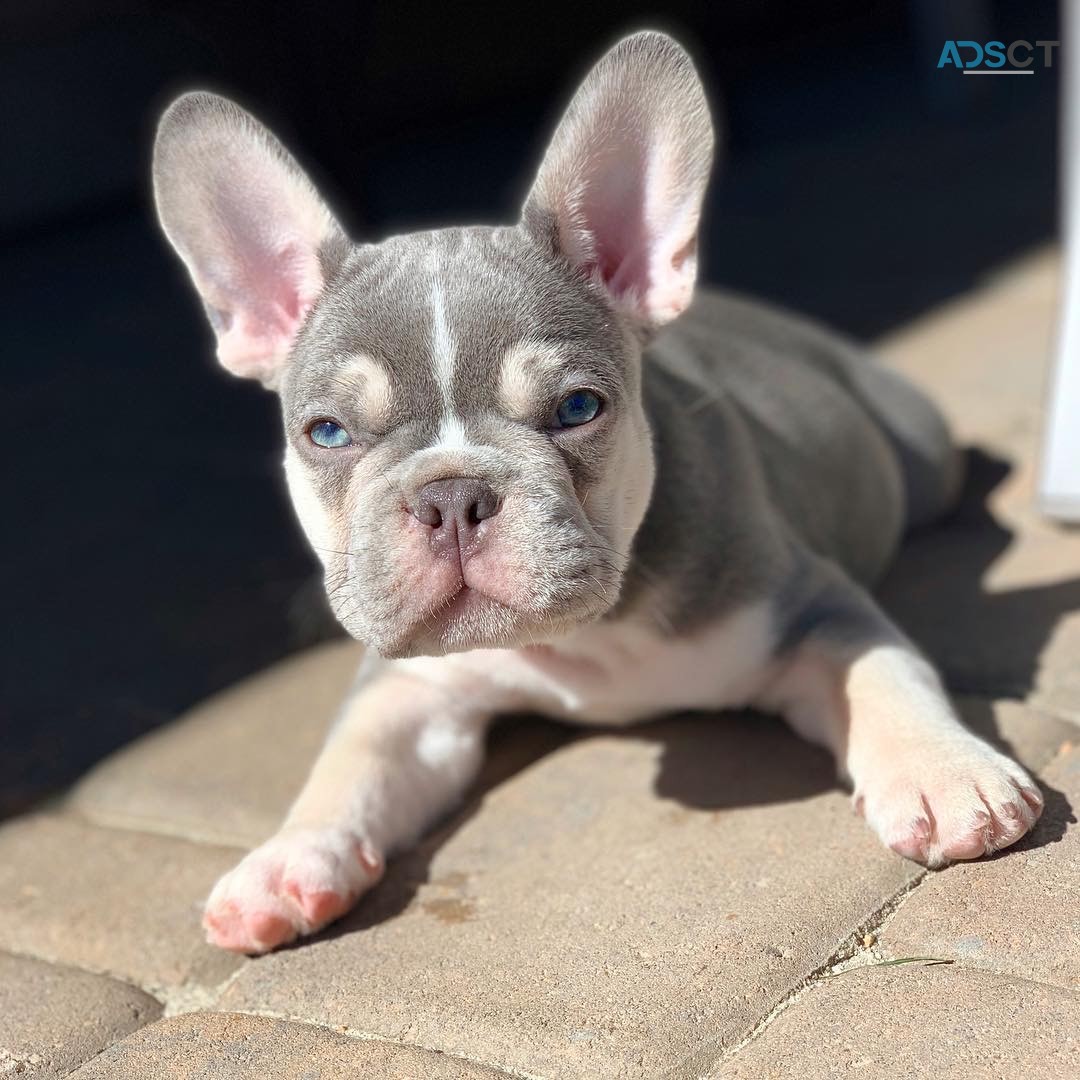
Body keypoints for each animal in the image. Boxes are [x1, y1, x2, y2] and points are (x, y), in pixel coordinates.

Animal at [150, 29, 1036, 954]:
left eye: (578, 408)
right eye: (326, 433)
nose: (452, 497)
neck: (585, 639)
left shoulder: (808, 603)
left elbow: (883, 670)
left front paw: (946, 774)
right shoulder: (410, 693)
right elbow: (349, 761)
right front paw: (288, 858)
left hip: (920, 454)